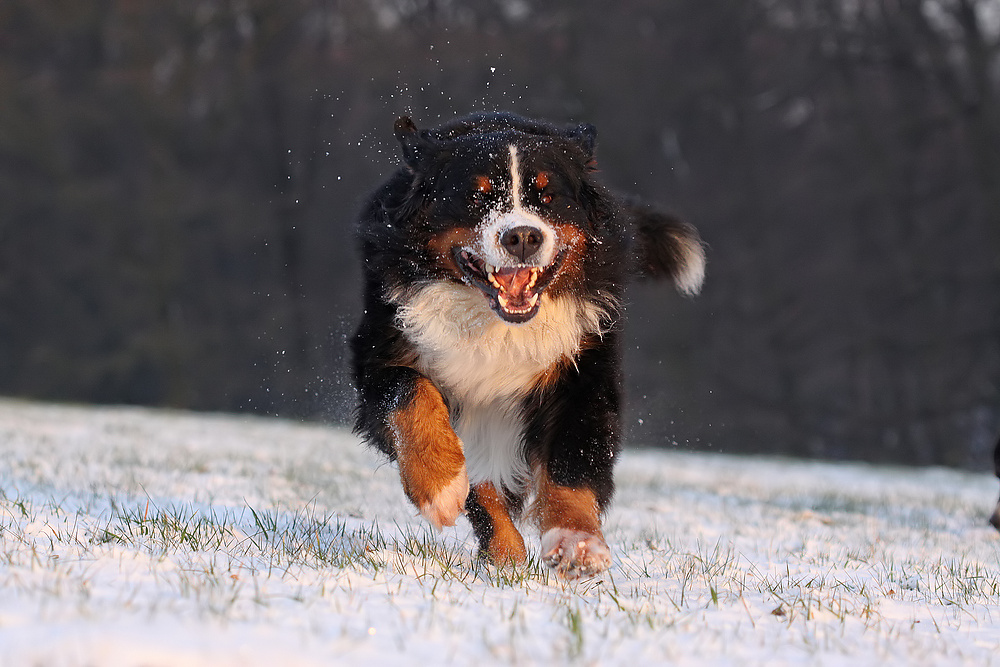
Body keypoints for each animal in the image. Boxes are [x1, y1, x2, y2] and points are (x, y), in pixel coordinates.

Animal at [352, 111, 704, 580]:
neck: (499, 328)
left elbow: (573, 462)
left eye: (548, 197)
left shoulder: (582, 370)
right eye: (477, 197)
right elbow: (409, 395)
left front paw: (577, 543)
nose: (521, 236)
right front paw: (441, 488)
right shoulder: (381, 350)